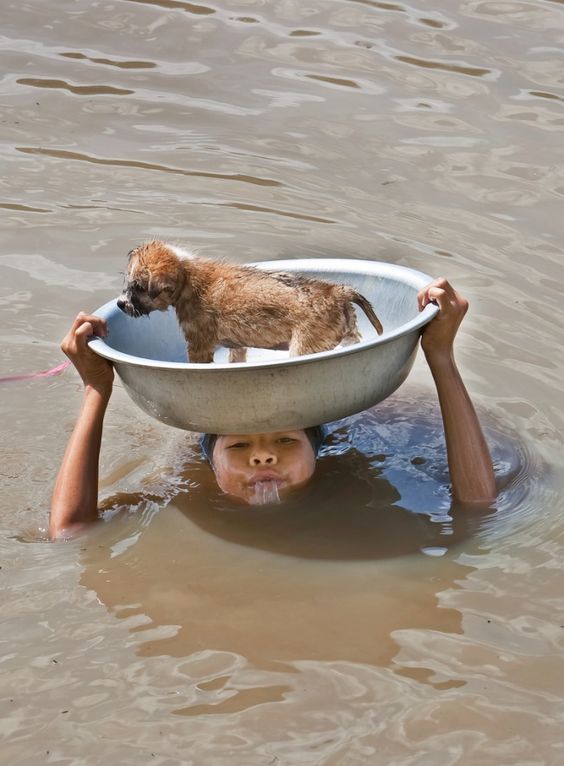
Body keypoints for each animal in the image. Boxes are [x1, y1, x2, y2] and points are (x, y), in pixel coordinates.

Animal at [117, 242, 386, 364]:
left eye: (138, 288)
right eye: (128, 283)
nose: (120, 304)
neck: (187, 276)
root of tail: (336, 291)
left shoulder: (198, 344)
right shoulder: (237, 346)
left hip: (303, 347)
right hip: (349, 332)